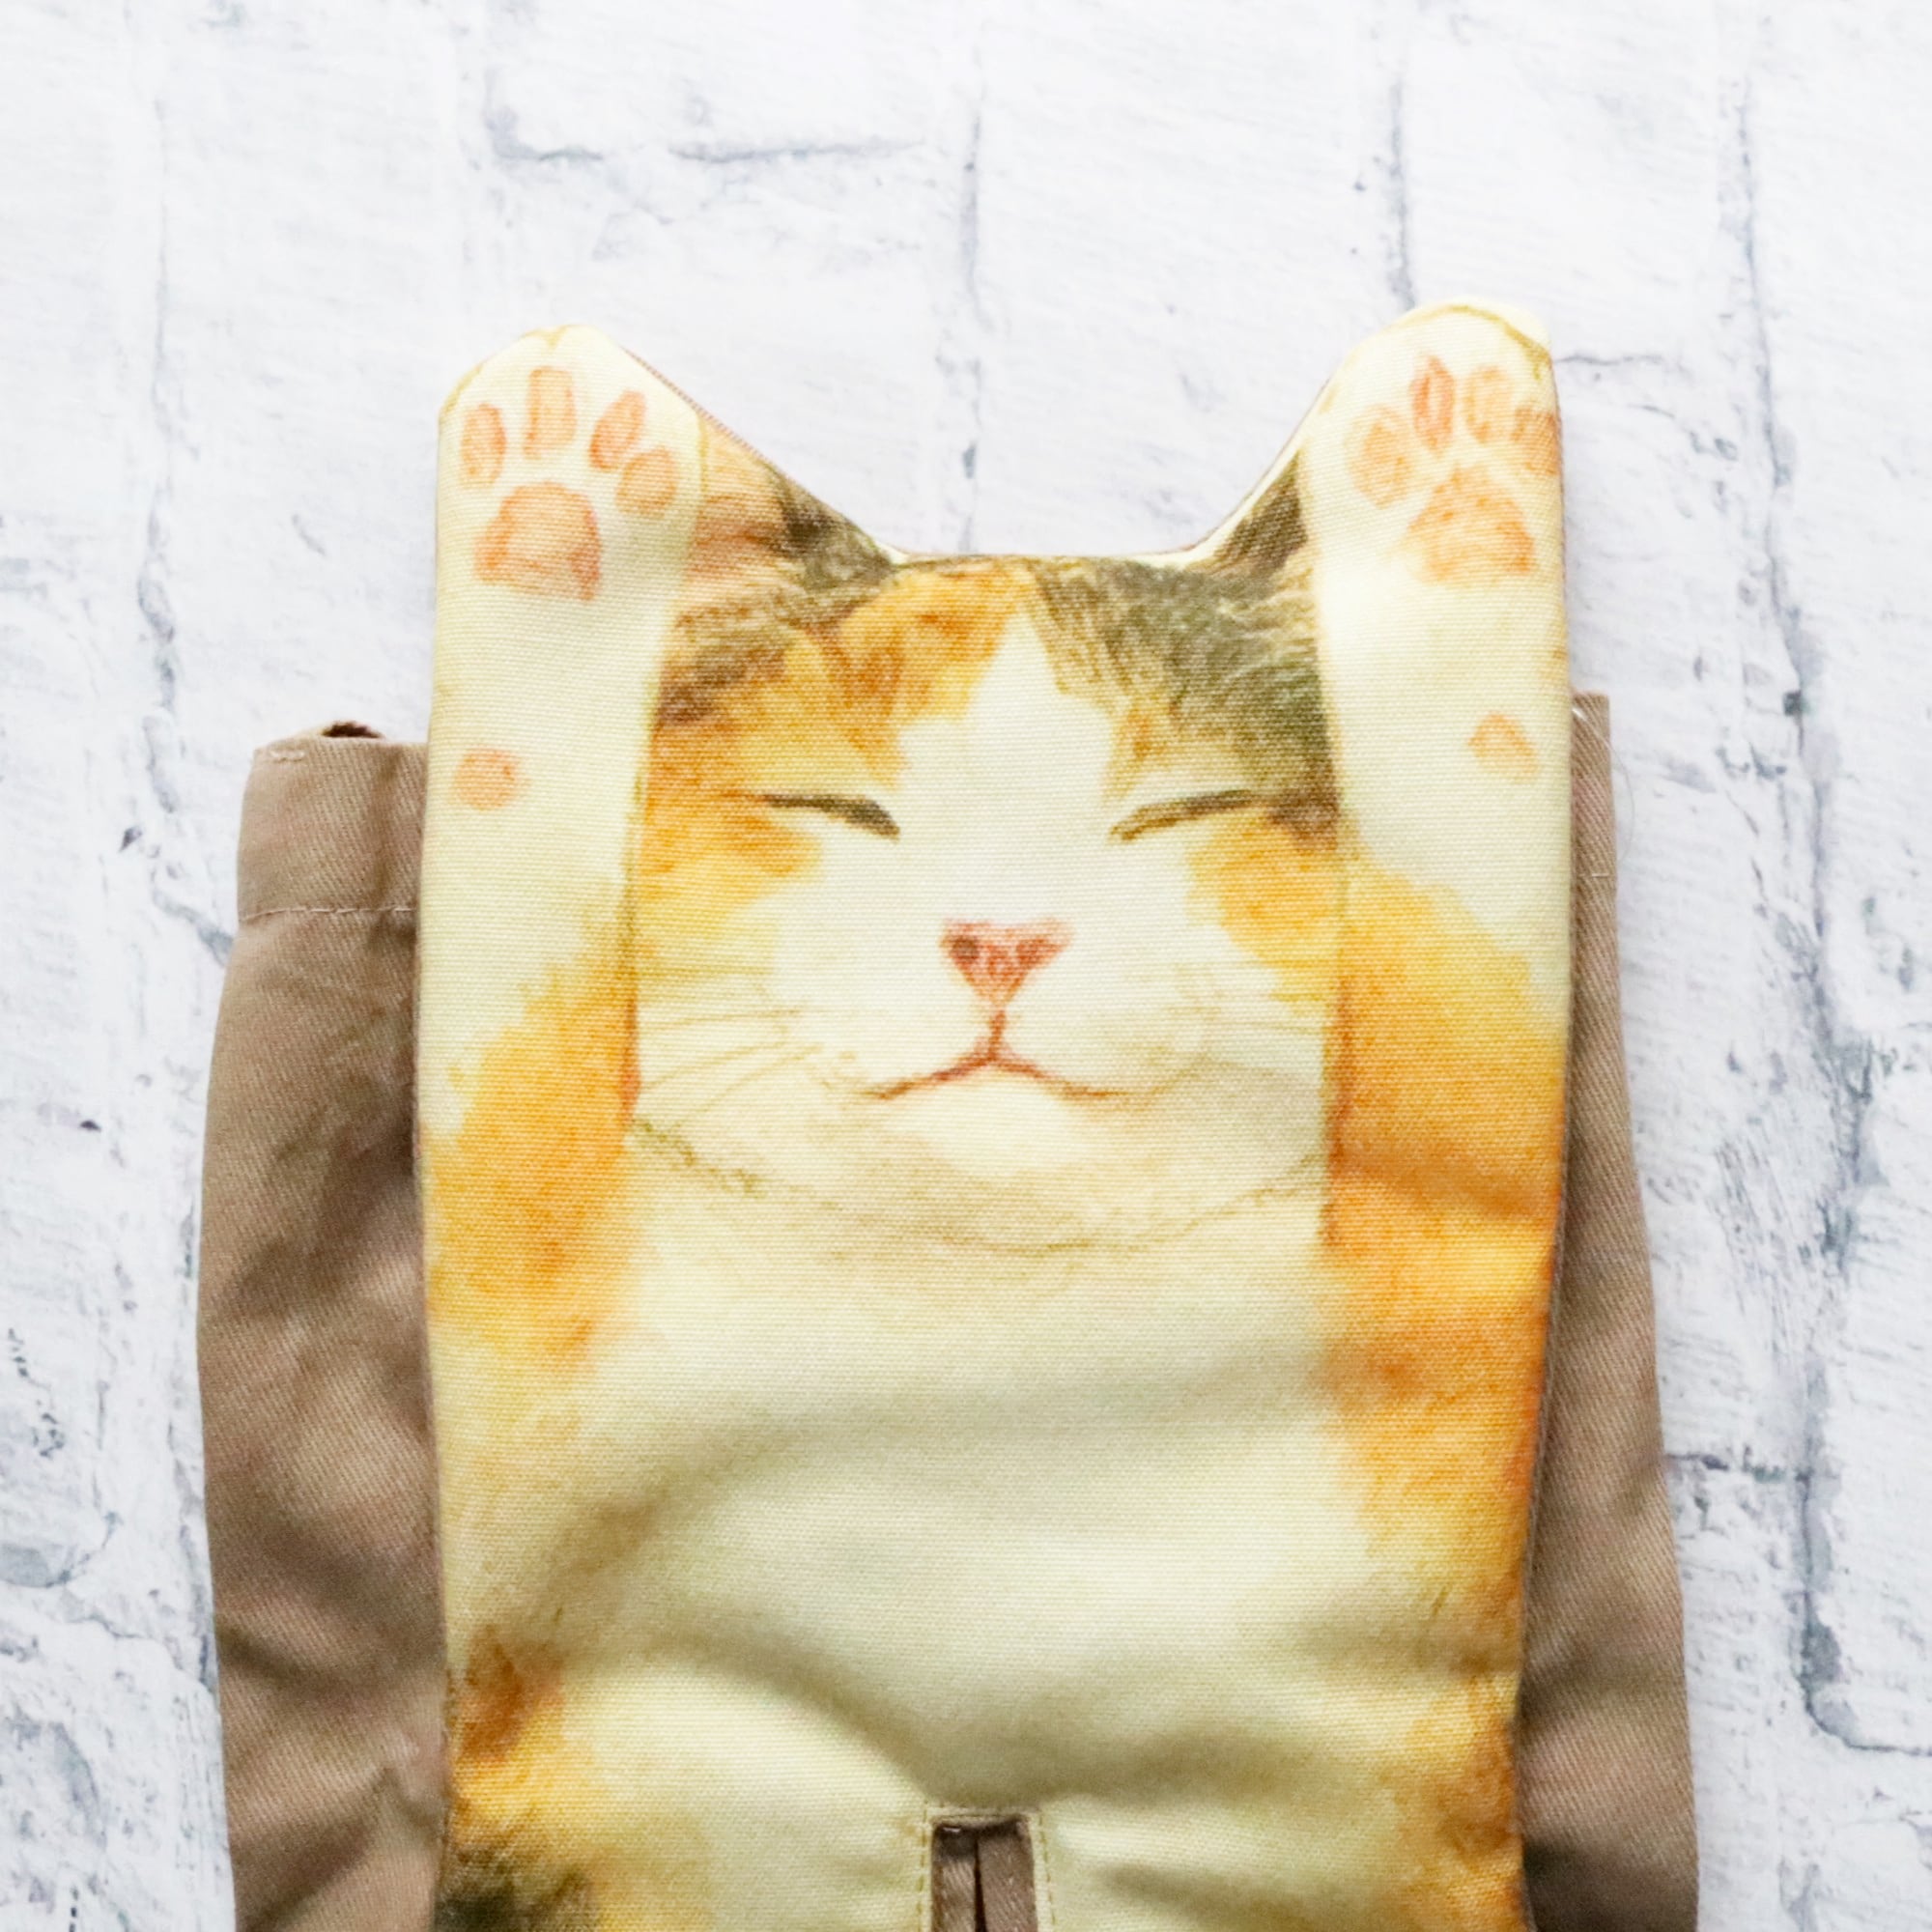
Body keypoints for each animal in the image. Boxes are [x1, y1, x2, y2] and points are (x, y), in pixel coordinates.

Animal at [422, 311, 1569, 1932]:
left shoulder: (1432, 1240)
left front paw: (1456, 524)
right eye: (837, 808)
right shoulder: (533, 1265)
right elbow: (542, 1002)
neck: (979, 1306)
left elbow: (1447, 964)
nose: (1003, 937)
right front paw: (554, 525)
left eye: (1178, 813)